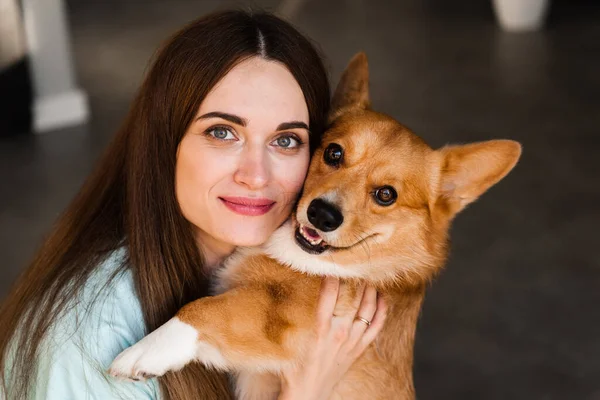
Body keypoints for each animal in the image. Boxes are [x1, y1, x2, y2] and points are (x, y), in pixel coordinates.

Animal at [110, 53, 524, 400]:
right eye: (334, 153)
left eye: (386, 195)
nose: (322, 215)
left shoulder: (282, 321)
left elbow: (206, 309)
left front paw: (146, 350)